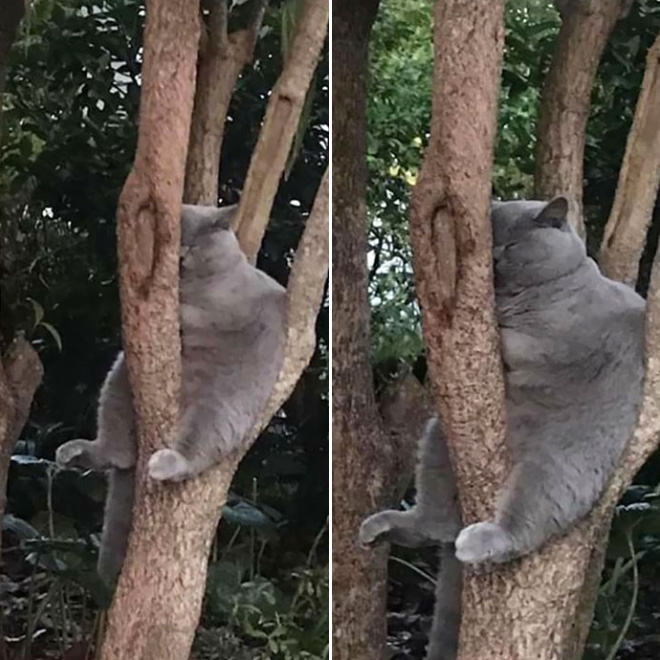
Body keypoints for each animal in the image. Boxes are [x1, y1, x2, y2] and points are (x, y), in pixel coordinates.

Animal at [55, 204, 284, 584]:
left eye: (194, 239)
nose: (180, 255)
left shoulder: (218, 306)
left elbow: (194, 310)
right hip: (120, 377)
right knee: (118, 453)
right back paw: (78, 453)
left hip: (220, 408)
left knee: (194, 451)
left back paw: (167, 462)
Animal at [360, 197, 644, 660]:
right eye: (488, 238)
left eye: (511, 244)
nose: (492, 257)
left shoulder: (549, 341)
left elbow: (514, 337)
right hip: (438, 438)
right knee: (435, 522)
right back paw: (386, 527)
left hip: (554, 468)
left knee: (521, 525)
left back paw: (481, 539)